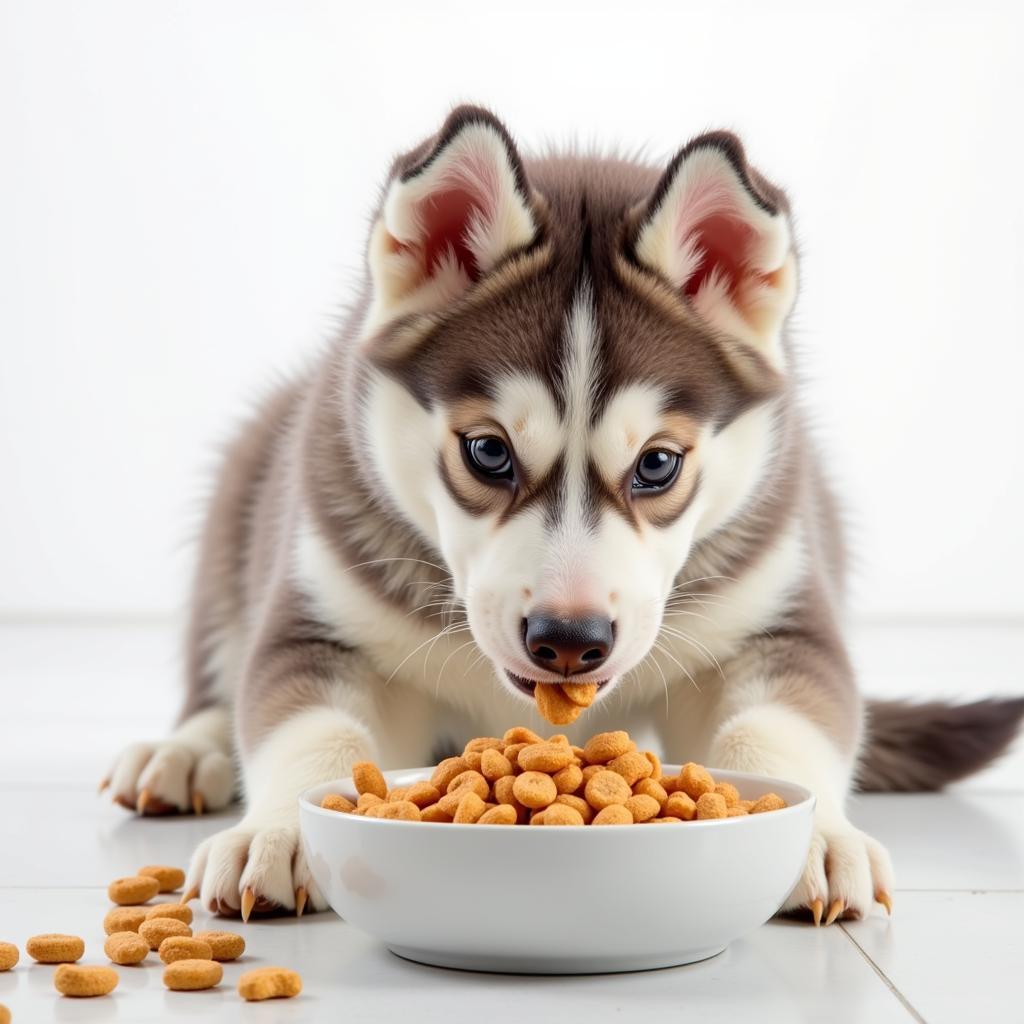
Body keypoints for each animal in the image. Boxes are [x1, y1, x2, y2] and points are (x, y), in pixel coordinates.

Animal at [105, 108, 1024, 925]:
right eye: (487, 452)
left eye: (657, 464)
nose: (570, 641)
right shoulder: (315, 619)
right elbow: (314, 734)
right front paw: (277, 831)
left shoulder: (780, 617)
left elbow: (774, 732)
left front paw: (817, 835)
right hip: (243, 495)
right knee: (217, 676)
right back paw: (180, 751)